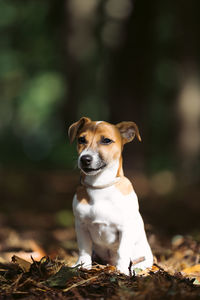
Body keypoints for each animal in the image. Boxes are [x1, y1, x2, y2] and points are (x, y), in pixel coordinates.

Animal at [69, 116, 153, 274]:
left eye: (106, 140)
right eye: (81, 139)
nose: (85, 159)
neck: (99, 187)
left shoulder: (125, 228)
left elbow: (122, 251)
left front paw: (122, 271)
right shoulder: (81, 225)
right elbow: (84, 249)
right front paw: (82, 265)